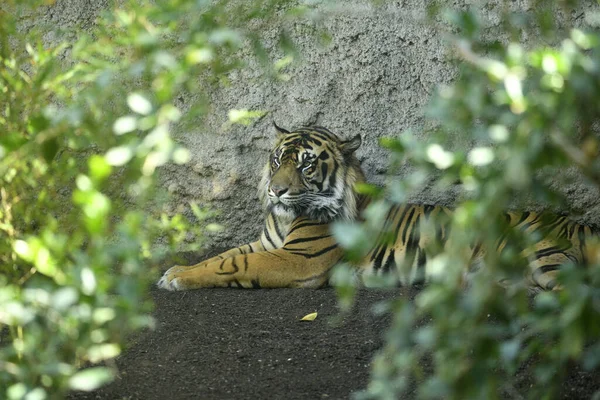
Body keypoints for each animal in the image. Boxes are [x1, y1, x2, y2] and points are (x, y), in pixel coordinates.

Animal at [156, 122, 596, 290]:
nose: (276, 192)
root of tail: (577, 224)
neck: (284, 218)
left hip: (543, 260)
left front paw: (177, 278)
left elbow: (233, 265)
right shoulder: (267, 245)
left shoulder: (296, 260)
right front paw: (177, 269)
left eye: (307, 165)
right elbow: (223, 256)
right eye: (278, 160)